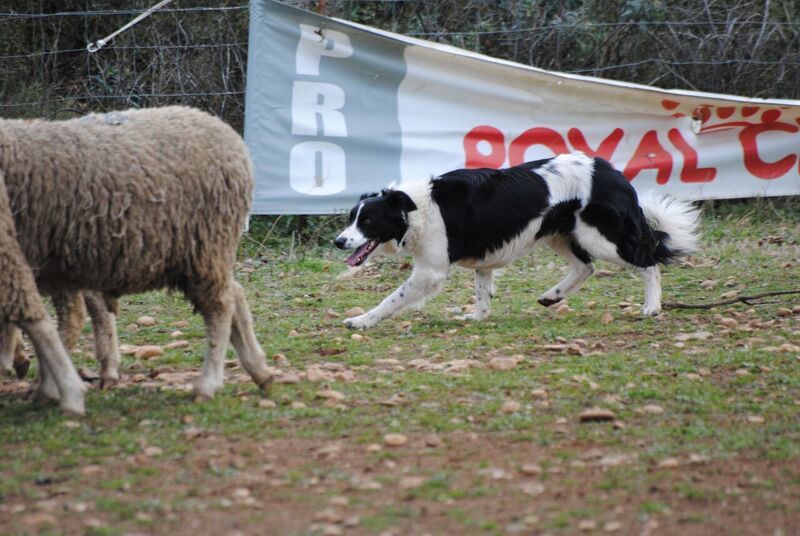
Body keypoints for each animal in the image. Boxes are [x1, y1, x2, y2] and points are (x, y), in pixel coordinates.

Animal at [0, 107, 272, 412]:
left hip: (206, 245)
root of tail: (227, 133)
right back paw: (259, 370)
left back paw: (208, 384)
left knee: (220, 308)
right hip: (196, 255)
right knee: (235, 293)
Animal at [334, 152, 696, 330]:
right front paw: (479, 318)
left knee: (648, 262)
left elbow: (391, 299)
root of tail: (612, 171)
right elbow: (483, 292)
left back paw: (652, 307)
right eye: (351, 218)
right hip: (560, 234)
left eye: (367, 221)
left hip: (599, 236)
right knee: (585, 268)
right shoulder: (483, 259)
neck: (414, 208)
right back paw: (553, 296)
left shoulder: (429, 272)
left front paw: (362, 320)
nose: (338, 242)